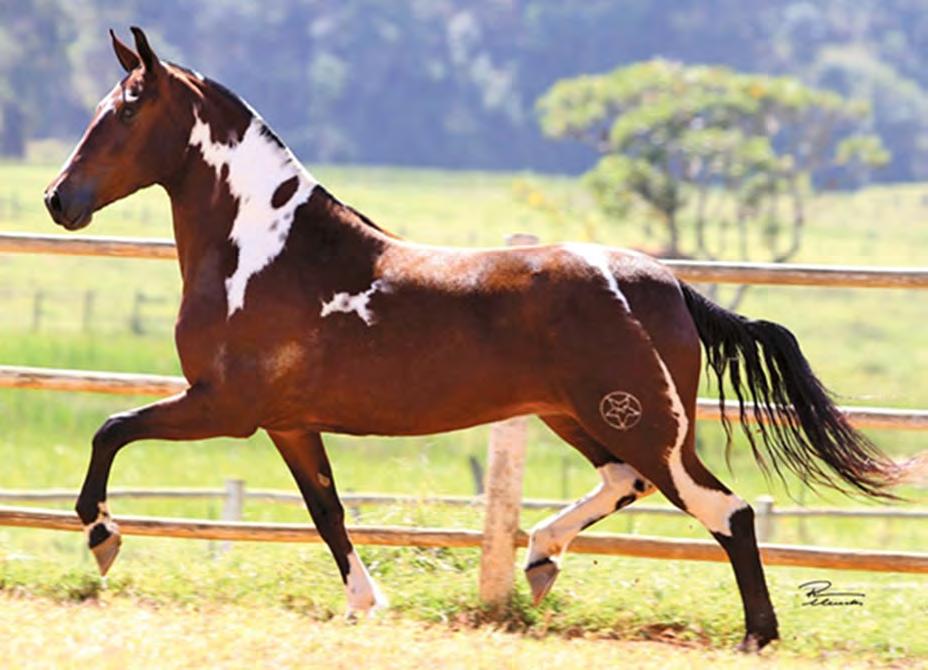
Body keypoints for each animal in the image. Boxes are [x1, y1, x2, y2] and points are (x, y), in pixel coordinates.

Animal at [43, 28, 912, 652]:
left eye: (126, 108)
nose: (59, 200)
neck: (265, 251)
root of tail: (660, 284)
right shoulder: (287, 423)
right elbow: (327, 511)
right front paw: (366, 602)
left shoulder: (224, 406)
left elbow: (110, 429)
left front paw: (102, 536)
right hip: (585, 416)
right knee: (625, 482)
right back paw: (539, 559)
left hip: (643, 424)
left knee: (725, 510)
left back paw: (755, 635)